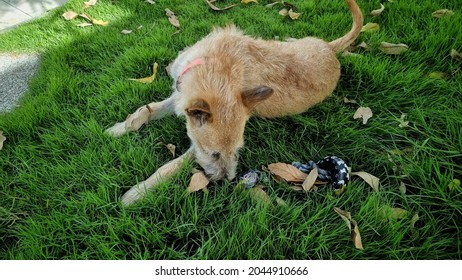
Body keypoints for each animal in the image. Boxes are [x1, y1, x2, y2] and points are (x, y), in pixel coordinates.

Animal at [106, 0, 362, 206]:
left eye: (237, 151)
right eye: (214, 154)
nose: (227, 181)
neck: (214, 66)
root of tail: (330, 49)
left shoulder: (193, 136)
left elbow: (172, 165)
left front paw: (139, 191)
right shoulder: (180, 96)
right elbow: (146, 110)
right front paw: (119, 128)